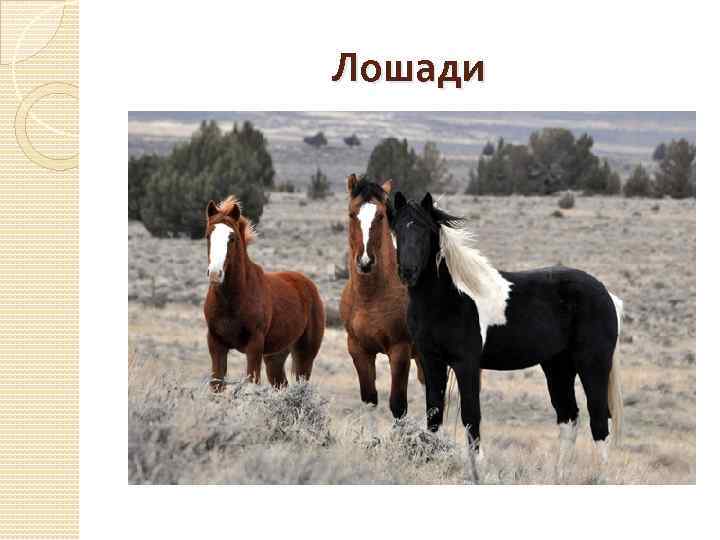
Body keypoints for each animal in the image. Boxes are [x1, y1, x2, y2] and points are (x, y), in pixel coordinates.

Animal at [203, 196, 325, 392]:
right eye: (208, 235)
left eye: (232, 238)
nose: (215, 273)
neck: (232, 300)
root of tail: (307, 283)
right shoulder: (216, 344)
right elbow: (216, 385)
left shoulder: (254, 346)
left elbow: (252, 383)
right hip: (275, 357)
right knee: (281, 384)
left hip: (305, 354)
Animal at [339, 174, 424, 419]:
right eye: (352, 213)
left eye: (381, 215)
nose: (365, 261)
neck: (370, 297)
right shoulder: (359, 350)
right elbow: (369, 400)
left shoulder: (399, 351)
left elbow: (398, 406)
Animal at [391, 191, 624, 475]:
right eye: (398, 229)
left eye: (424, 230)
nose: (408, 272)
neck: (450, 297)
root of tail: (606, 294)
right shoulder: (431, 360)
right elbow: (433, 413)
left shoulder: (466, 363)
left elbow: (471, 415)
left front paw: (478, 467)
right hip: (558, 366)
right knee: (568, 417)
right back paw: (560, 475)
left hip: (592, 364)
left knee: (600, 419)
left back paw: (600, 476)